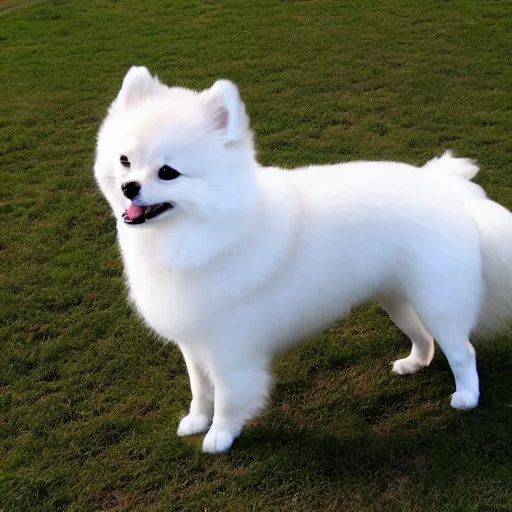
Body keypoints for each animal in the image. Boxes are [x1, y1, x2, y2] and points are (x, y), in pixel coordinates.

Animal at [95, 67, 512, 452]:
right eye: (125, 160)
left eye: (168, 172)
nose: (128, 187)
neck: (203, 232)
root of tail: (447, 188)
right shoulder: (195, 342)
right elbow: (200, 389)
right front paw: (197, 420)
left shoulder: (231, 349)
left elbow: (227, 398)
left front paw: (220, 436)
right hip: (396, 297)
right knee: (423, 337)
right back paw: (413, 363)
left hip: (439, 302)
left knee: (462, 351)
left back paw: (467, 397)